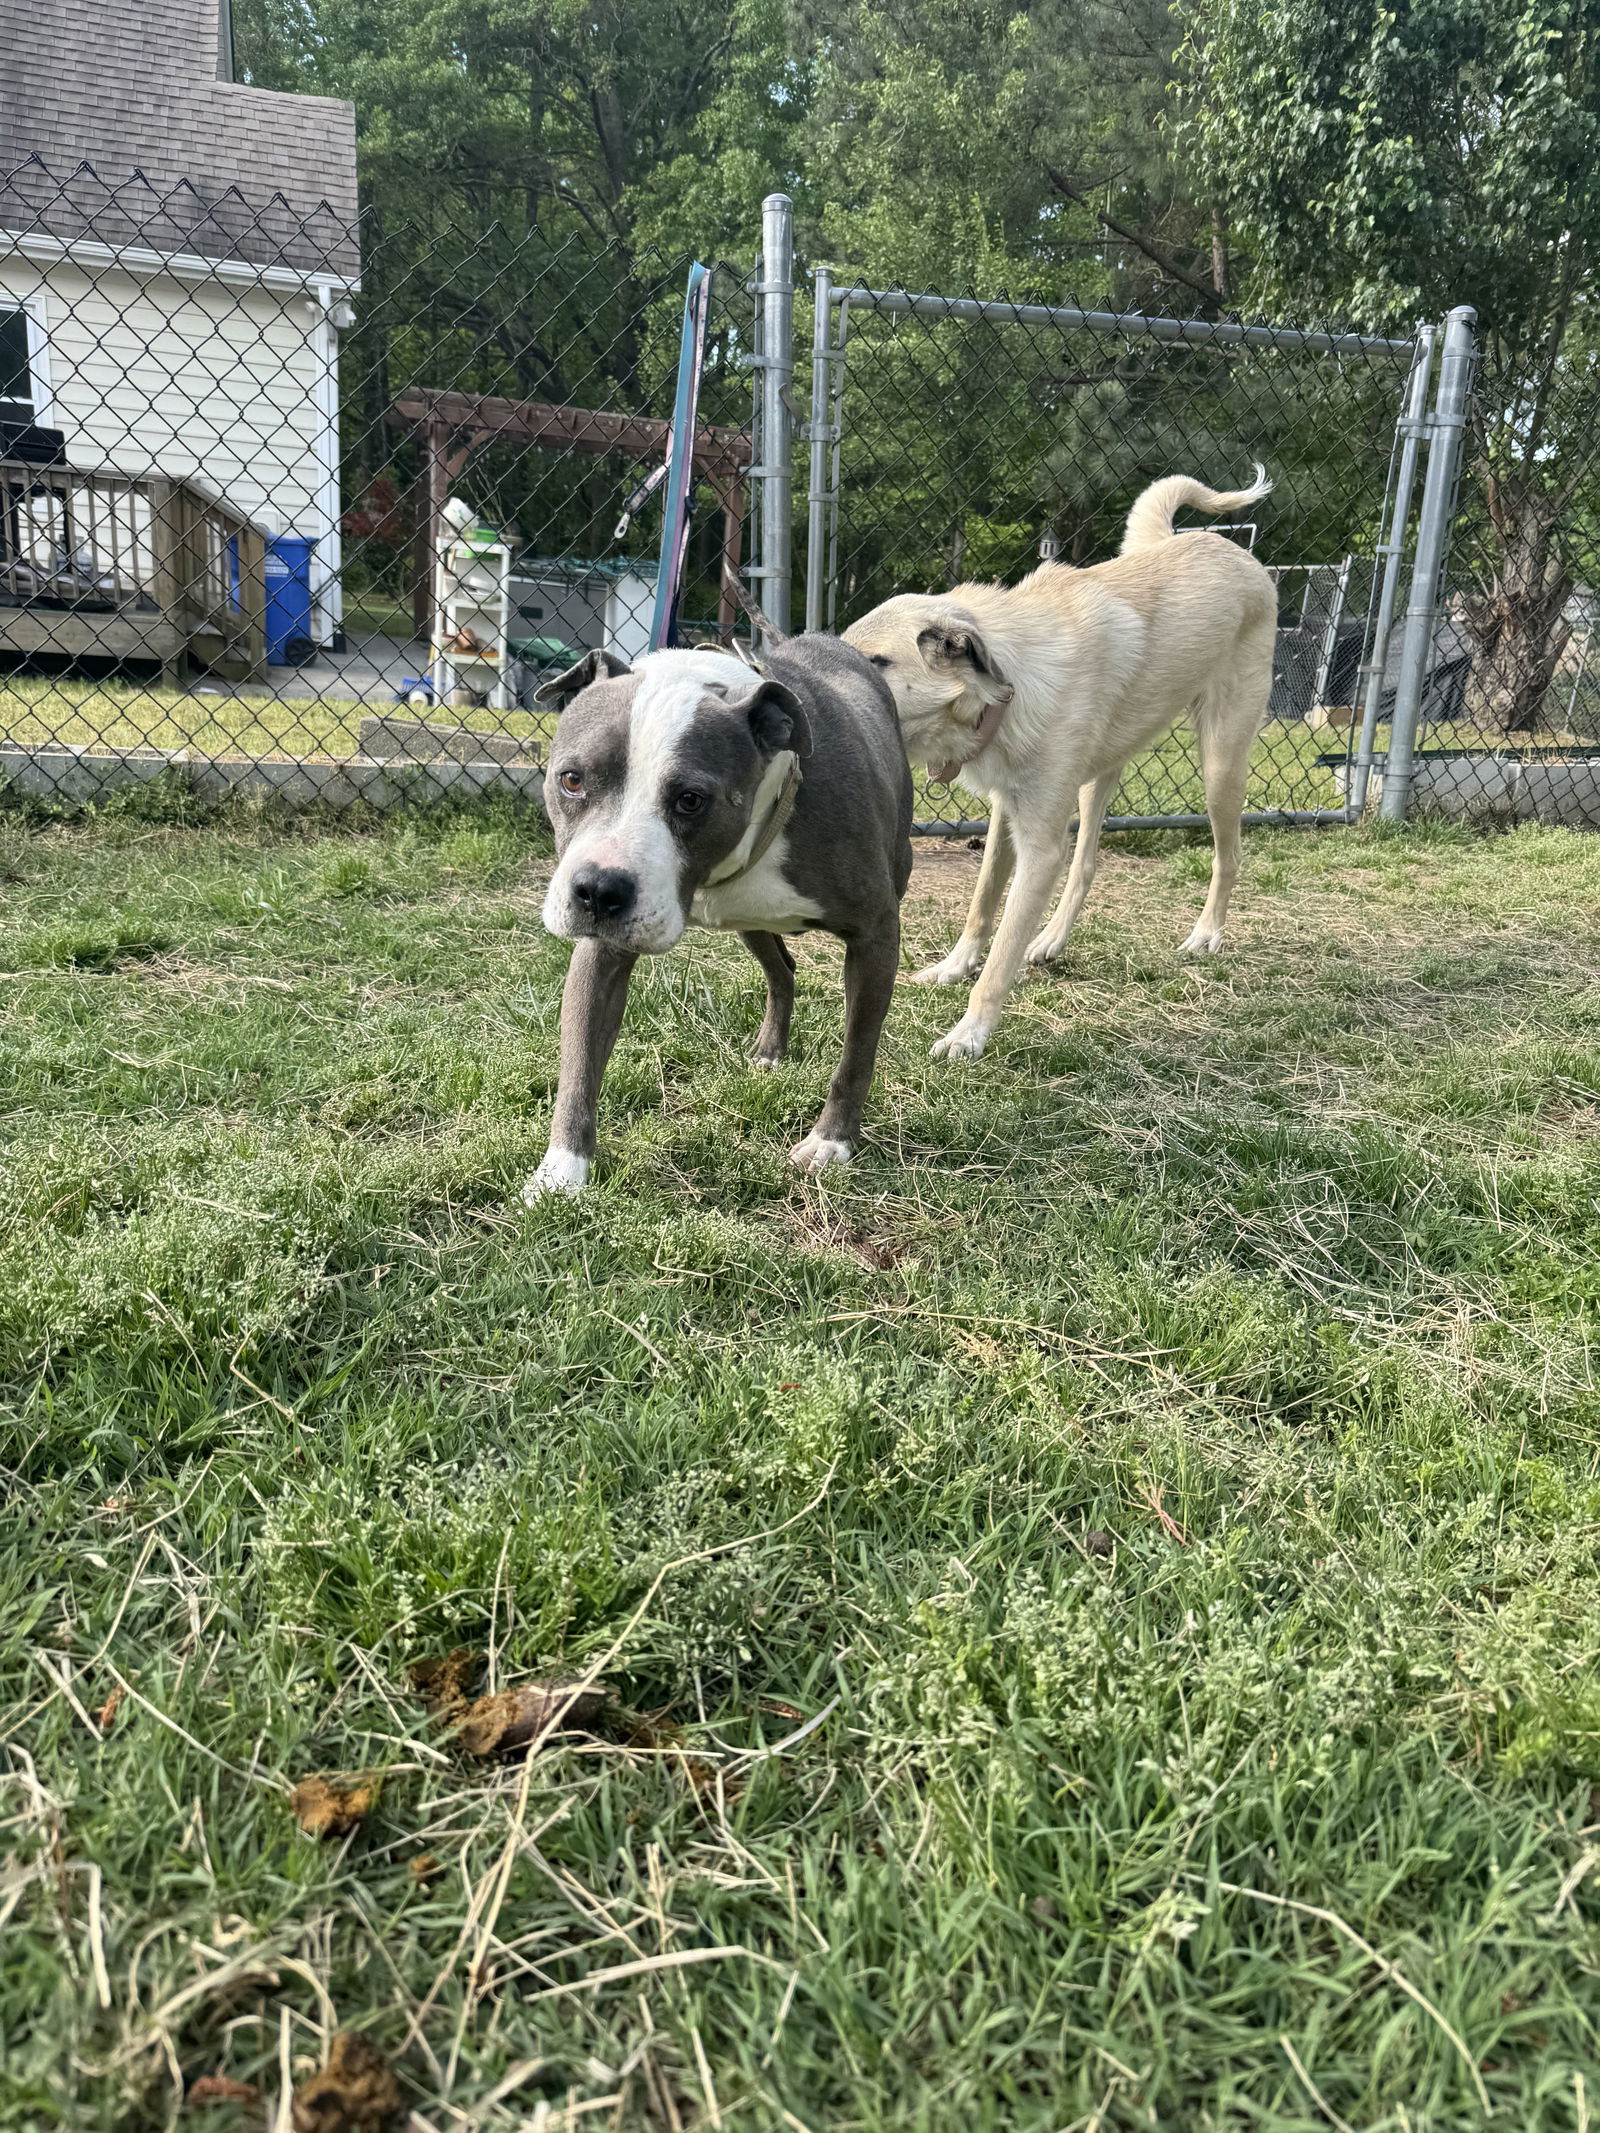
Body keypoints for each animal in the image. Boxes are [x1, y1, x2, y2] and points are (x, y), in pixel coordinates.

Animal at [520, 631, 908, 1203]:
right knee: (782, 971)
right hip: (751, 924)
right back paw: (769, 1049)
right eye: (570, 779)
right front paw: (561, 1172)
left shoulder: (875, 936)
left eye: (689, 800)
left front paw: (831, 1141)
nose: (597, 891)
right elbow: (580, 1063)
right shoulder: (603, 950)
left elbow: (857, 1053)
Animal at [840, 473, 1280, 1057]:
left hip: (1221, 764)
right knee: (1087, 864)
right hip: (1098, 778)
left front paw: (969, 1032)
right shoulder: (1007, 813)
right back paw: (1051, 939)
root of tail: (1228, 549)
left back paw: (1207, 933)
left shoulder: (1040, 847)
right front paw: (953, 967)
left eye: (874, 661)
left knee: (1226, 858)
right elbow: (983, 901)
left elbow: (1001, 952)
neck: (1007, 689)